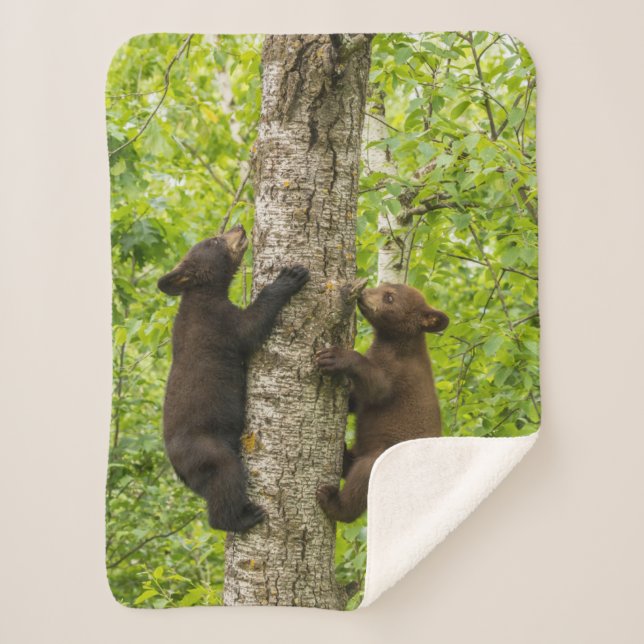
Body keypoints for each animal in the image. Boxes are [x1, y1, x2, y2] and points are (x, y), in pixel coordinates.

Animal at [158, 224, 309, 532]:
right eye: (214, 241)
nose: (239, 227)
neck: (201, 294)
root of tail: (178, 470)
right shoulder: (218, 322)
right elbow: (251, 327)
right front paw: (289, 277)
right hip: (207, 449)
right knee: (226, 475)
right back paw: (243, 518)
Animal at [315, 282, 448, 523]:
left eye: (389, 297)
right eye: (383, 285)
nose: (363, 292)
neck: (396, 344)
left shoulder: (400, 374)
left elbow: (377, 388)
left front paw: (335, 357)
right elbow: (358, 399)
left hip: (384, 455)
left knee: (362, 478)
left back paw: (333, 501)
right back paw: (345, 456)